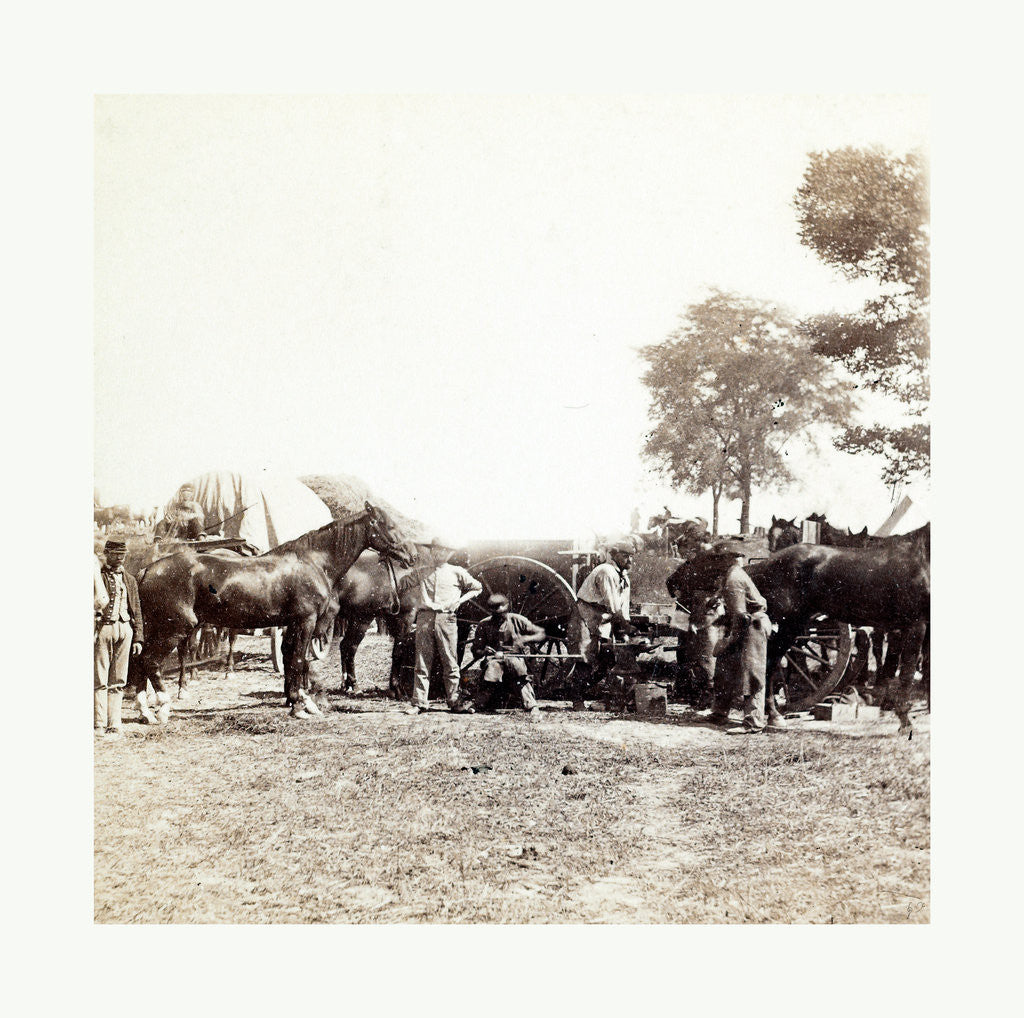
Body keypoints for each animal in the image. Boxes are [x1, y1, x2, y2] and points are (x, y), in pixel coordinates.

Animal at [131, 503, 411, 716]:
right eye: (390, 526)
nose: (411, 556)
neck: (312, 562)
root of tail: (147, 570)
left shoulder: (291, 623)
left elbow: (290, 657)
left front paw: (292, 698)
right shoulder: (306, 621)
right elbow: (298, 659)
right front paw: (300, 703)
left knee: (139, 661)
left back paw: (144, 709)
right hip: (174, 629)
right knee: (150, 661)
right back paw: (162, 706)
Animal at [667, 524, 933, 729]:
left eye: (704, 557)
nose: (671, 583)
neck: (923, 558)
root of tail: (766, 564)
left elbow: (924, 667)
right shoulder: (915, 625)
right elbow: (908, 671)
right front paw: (905, 721)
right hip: (790, 626)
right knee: (770, 662)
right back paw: (772, 715)